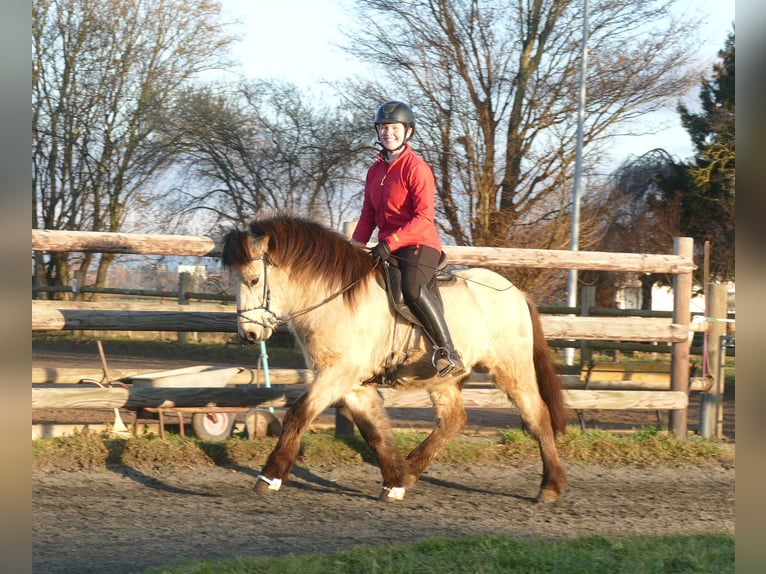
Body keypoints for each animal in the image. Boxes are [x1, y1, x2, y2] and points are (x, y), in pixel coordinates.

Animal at [221, 214, 568, 503]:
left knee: (537, 415)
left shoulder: (337, 374)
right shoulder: (352, 383)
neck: (337, 298)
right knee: (453, 420)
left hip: (512, 369)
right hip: (444, 380)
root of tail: (516, 293)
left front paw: (270, 476)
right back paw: (411, 470)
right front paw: (395, 481)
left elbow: (297, 415)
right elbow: (374, 431)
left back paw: (550, 486)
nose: (248, 334)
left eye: (254, 280)